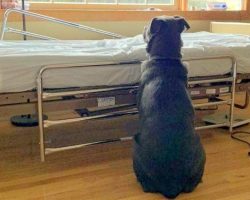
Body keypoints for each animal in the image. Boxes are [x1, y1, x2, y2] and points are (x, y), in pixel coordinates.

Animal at [133, 15, 205, 198]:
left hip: (135, 147)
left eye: (147, 28)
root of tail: (171, 186)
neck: (165, 59)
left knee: (145, 186)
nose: (142, 28)